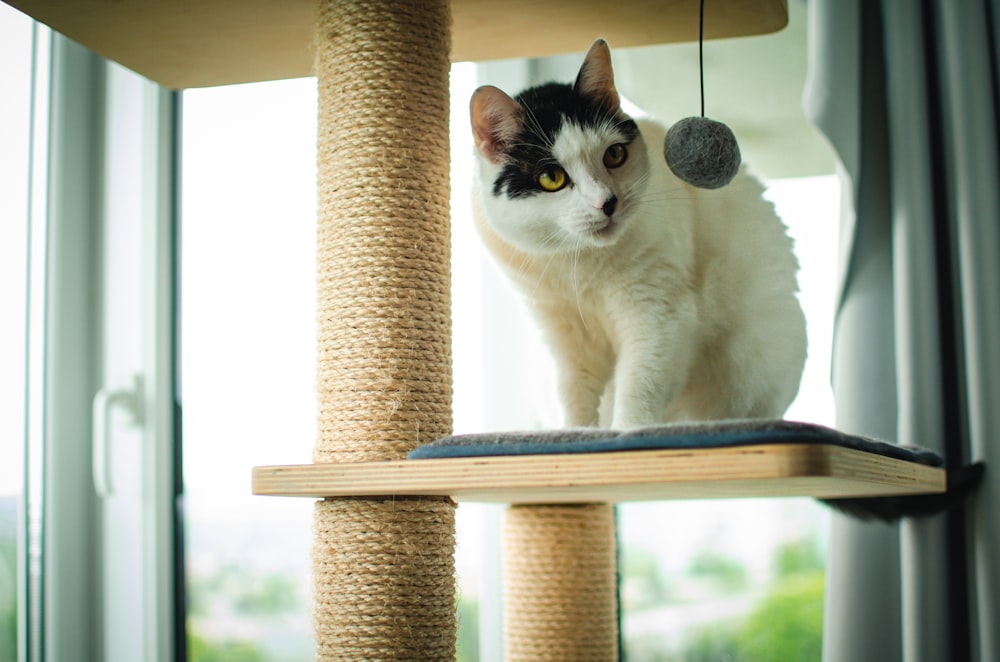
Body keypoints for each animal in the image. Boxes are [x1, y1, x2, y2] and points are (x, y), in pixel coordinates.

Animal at [470, 39, 984, 520]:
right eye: (552, 178)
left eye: (614, 155)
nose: (607, 202)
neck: (581, 267)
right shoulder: (561, 330)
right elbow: (574, 391)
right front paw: (577, 438)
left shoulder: (659, 314)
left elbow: (640, 384)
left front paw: (626, 438)